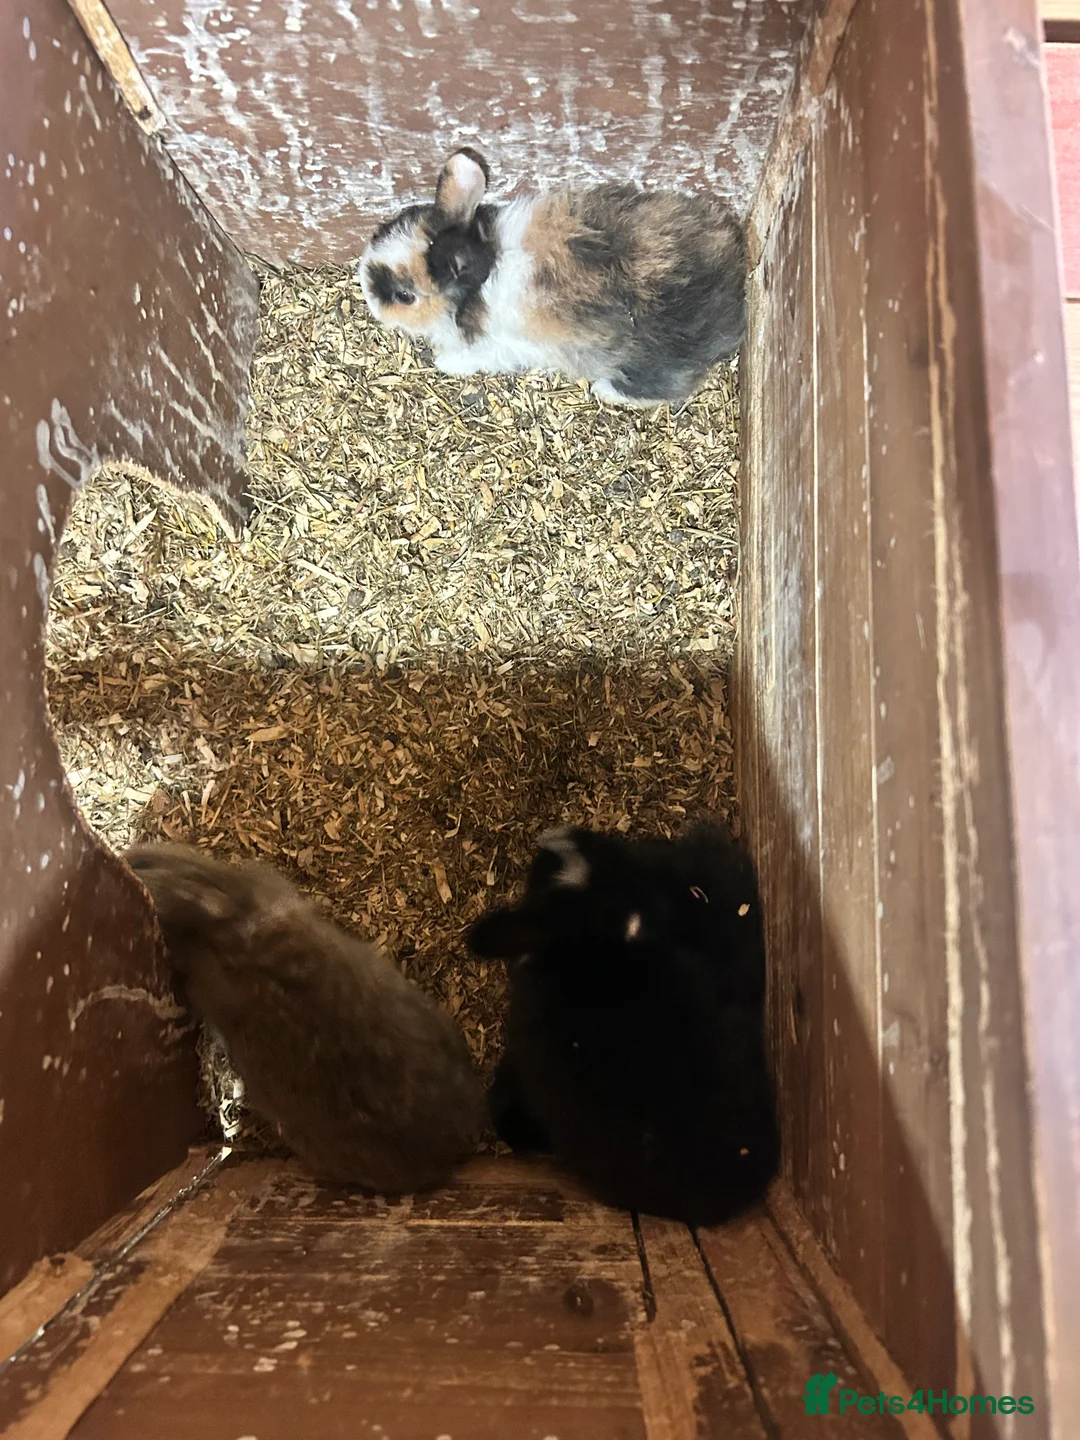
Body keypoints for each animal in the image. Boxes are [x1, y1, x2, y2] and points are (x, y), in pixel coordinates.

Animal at [356, 148, 746, 407]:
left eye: (405, 296)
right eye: (382, 230)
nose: (368, 293)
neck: (477, 283)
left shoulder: (496, 346)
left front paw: (445, 364)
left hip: (651, 361)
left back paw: (605, 390)